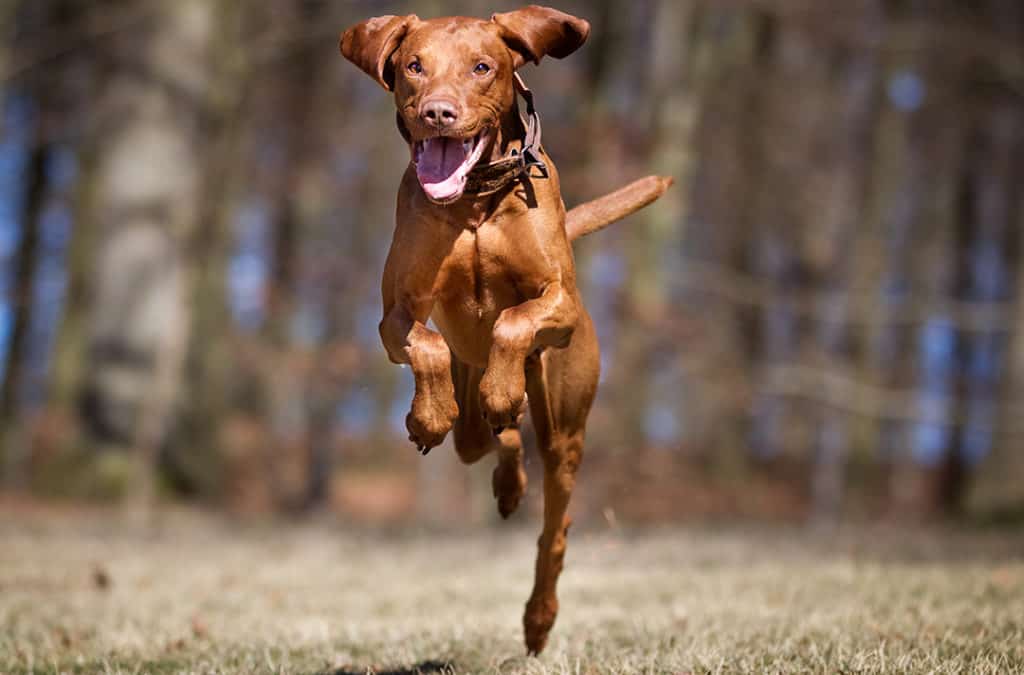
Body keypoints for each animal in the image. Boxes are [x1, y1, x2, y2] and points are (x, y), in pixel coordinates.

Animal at [339, 2, 667, 651]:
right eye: (414, 65)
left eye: (482, 67)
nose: (438, 112)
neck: (473, 203)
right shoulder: (395, 312)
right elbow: (427, 342)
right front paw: (428, 414)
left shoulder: (560, 304)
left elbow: (514, 320)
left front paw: (500, 381)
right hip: (471, 426)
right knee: (491, 434)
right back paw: (501, 463)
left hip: (566, 427)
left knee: (555, 525)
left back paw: (539, 615)